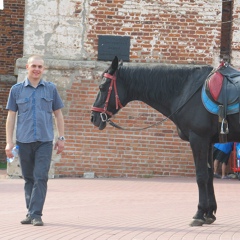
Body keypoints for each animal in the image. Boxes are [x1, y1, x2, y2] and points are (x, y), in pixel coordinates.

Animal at [91, 56, 240, 227]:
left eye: (102, 87)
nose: (93, 117)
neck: (187, 90)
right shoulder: (208, 141)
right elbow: (209, 176)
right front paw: (209, 213)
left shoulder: (198, 139)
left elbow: (201, 176)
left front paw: (199, 213)